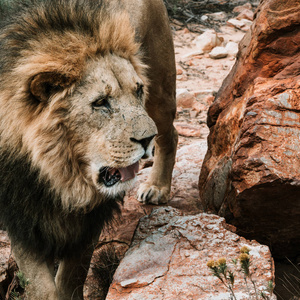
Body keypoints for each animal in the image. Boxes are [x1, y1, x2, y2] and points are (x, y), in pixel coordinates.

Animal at [0, 0, 177, 298]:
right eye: (101, 102)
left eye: (137, 90)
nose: (146, 139)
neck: (60, 174)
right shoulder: (21, 215)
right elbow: (40, 284)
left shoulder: (90, 219)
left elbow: (72, 276)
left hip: (161, 92)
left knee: (171, 134)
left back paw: (157, 187)